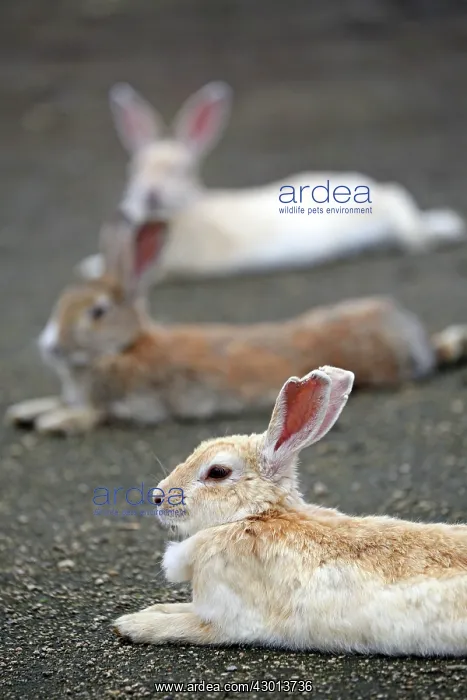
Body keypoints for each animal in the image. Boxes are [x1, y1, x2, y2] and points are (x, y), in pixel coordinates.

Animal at [6, 220, 467, 435]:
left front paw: (55, 422)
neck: (123, 347)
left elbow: (94, 414)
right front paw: (26, 411)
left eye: (97, 312)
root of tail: (417, 341)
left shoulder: (132, 404)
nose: (50, 347)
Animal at [77, 81, 465, 284]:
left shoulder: (167, 267)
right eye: (134, 169)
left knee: (401, 205)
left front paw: (88, 268)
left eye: (182, 171)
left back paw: (429, 235)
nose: (151, 194)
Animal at [113, 365, 467, 656]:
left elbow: (185, 626)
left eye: (217, 472)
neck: (257, 516)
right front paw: (148, 612)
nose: (158, 497)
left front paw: (132, 625)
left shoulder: (226, 620)